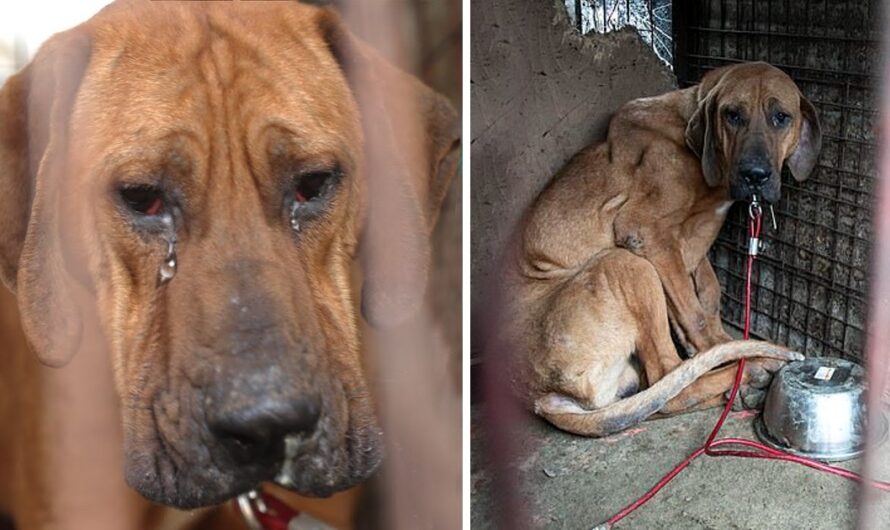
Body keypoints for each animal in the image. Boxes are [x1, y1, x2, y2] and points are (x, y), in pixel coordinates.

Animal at [506, 62, 820, 436]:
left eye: (781, 117)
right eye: (732, 115)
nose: (755, 175)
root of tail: (538, 398)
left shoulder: (690, 240)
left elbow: (708, 292)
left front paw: (718, 340)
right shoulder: (646, 233)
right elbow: (695, 314)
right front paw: (722, 347)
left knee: (656, 396)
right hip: (623, 263)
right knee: (667, 378)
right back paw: (754, 366)